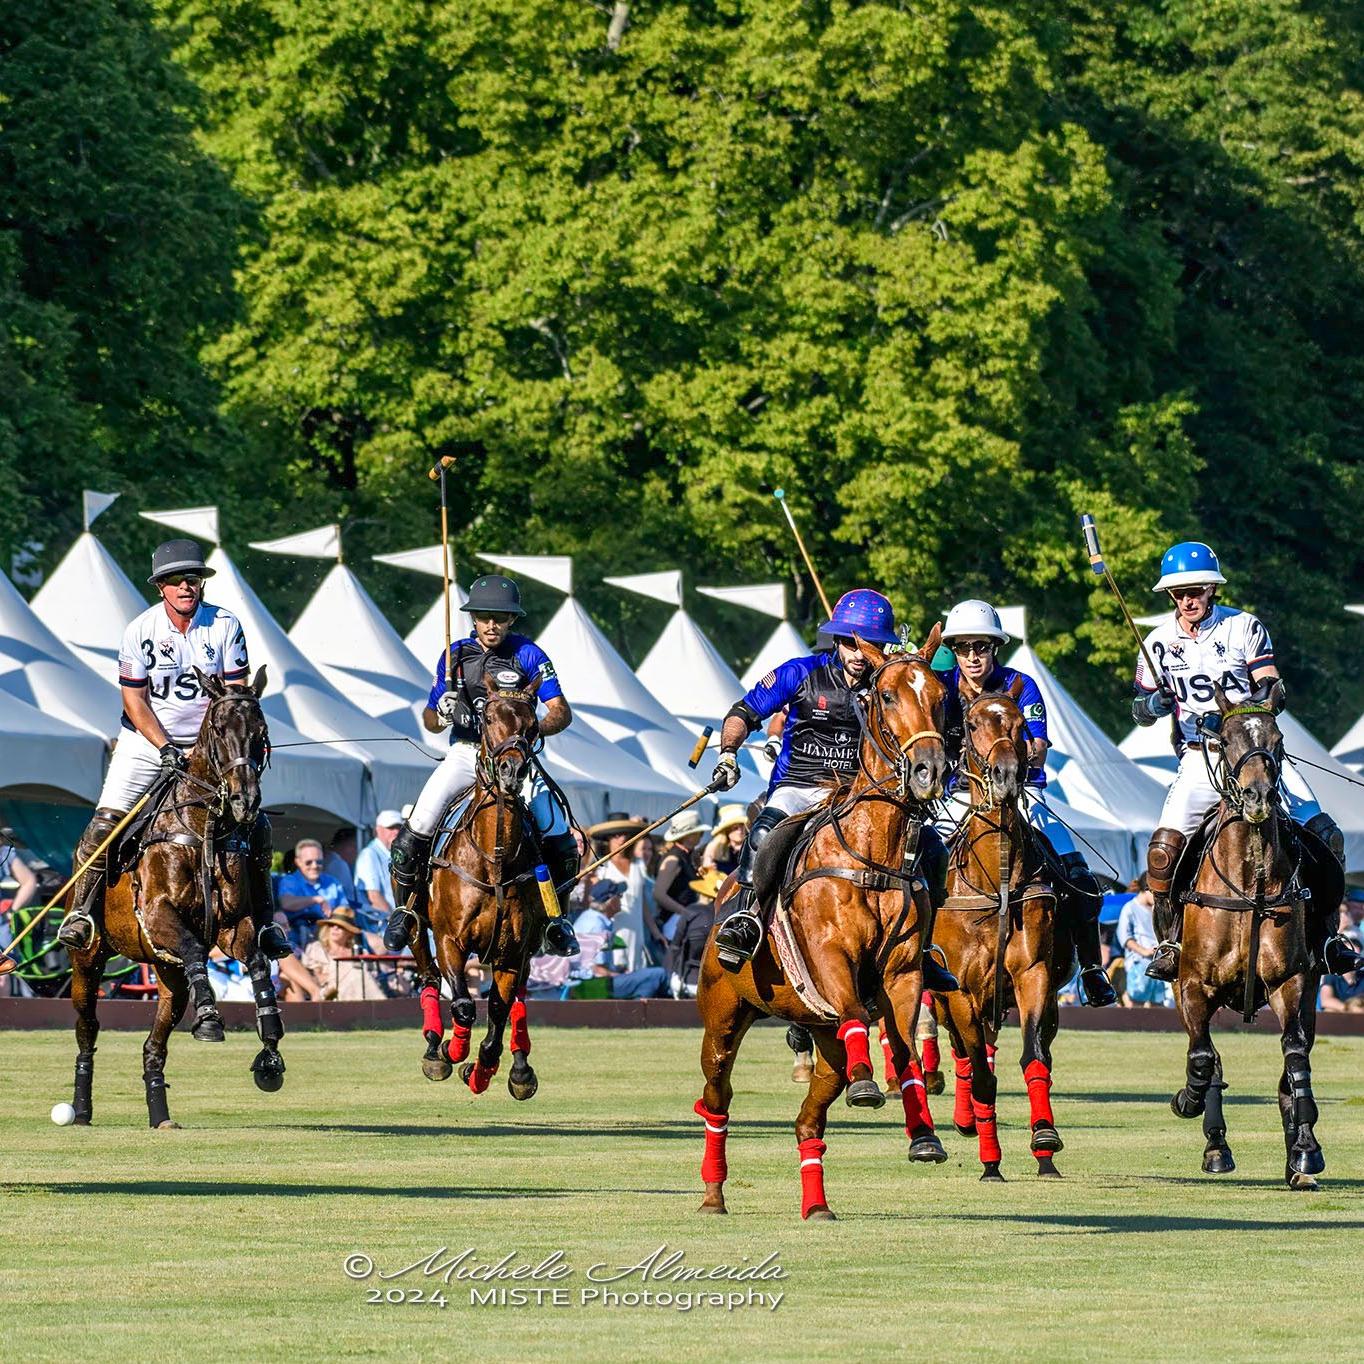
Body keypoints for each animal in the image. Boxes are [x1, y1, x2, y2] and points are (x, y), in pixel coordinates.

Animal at [66, 667, 284, 1129]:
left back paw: (160, 1113)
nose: (245, 800)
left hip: (167, 974)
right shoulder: (158, 915)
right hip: (87, 960)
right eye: (219, 729)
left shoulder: (231, 926)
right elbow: (193, 947)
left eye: (261, 733)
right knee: (87, 1029)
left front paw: (270, 1051)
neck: (203, 826)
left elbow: (257, 958)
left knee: (154, 1044)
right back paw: (80, 1108)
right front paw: (209, 1021)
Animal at [407, 690, 557, 1101]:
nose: (512, 771)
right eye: (487, 718)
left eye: (533, 724)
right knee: (428, 974)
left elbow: (497, 1010)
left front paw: (481, 1070)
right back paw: (434, 1048)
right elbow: (462, 1004)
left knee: (517, 999)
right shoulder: (449, 939)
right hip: (418, 925)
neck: (494, 860)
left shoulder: (513, 951)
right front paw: (452, 1050)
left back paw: (520, 1070)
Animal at [694, 627, 950, 1221]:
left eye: (940, 697)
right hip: (723, 1014)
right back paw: (713, 1195)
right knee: (716, 1100)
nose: (929, 771)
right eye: (887, 696)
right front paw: (868, 1087)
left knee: (807, 1120)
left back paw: (817, 1205)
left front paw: (924, 1137)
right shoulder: (831, 954)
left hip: (821, 1037)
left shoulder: (903, 972)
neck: (872, 854)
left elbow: (904, 1048)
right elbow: (749, 709)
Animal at [932, 681, 1069, 1181]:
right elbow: (981, 1074)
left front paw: (1045, 1140)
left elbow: (1034, 1058)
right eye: (971, 724)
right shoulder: (960, 989)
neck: (998, 876)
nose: (1007, 775)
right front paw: (990, 1160)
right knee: (964, 1055)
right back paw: (967, 1123)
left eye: (1021, 723)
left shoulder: (1033, 974)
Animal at [1169, 688, 1331, 1189]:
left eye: (1278, 739)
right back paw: (1216, 1145)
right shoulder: (1192, 985)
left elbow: (1295, 1058)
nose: (1259, 798)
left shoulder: (1290, 983)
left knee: (1294, 1063)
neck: (1249, 884)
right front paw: (1188, 1100)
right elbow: (1203, 1058)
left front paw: (1305, 1153)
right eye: (1225, 738)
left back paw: (1300, 1150)